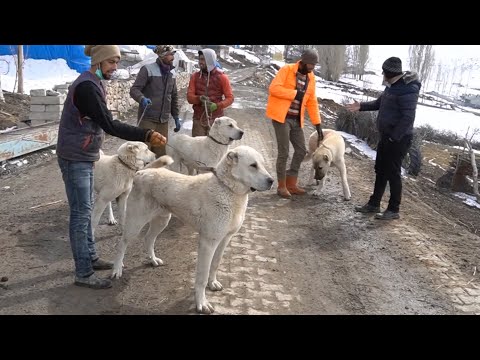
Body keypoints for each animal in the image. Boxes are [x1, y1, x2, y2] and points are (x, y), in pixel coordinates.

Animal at [109, 145, 274, 314]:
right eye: (253, 165)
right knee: (121, 244)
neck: (227, 189)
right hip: (135, 223)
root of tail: (142, 172)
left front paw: (213, 283)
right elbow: (202, 277)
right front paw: (201, 303)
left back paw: (153, 260)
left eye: (262, 164)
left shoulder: (225, 239)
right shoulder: (208, 243)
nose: (272, 181)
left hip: (162, 220)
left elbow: (215, 264)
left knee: (148, 239)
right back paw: (117, 269)